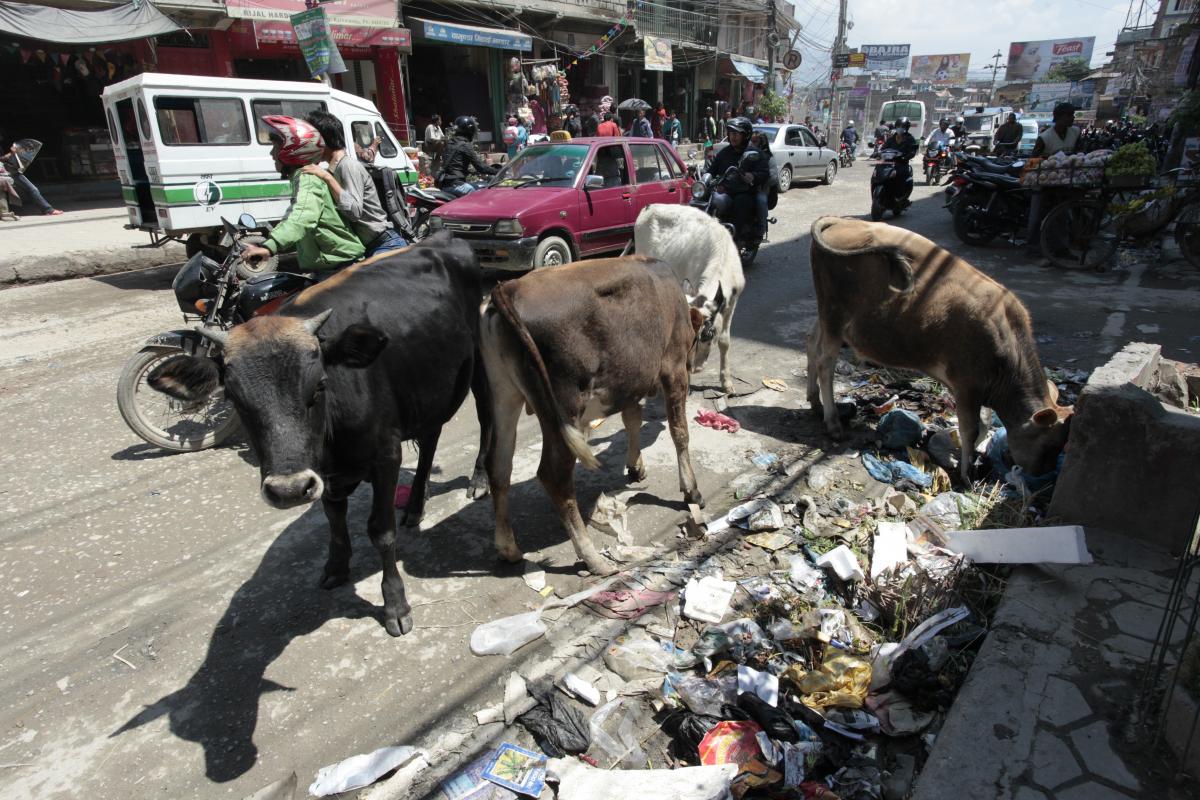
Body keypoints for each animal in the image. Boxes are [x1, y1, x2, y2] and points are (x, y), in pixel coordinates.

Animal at [150, 232, 487, 638]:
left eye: (320, 385)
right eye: (234, 398)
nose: (289, 490)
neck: (331, 443)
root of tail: (441, 237)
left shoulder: (385, 455)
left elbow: (380, 531)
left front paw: (395, 604)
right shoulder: (326, 473)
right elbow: (333, 517)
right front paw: (336, 567)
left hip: (482, 361)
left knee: (489, 418)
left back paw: (480, 479)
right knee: (432, 437)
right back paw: (415, 506)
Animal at [482, 256, 705, 575]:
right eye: (699, 337)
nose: (695, 364)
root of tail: (509, 288)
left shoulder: (629, 382)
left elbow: (632, 420)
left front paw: (636, 466)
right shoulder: (672, 367)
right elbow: (680, 432)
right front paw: (691, 491)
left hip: (504, 395)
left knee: (498, 466)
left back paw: (508, 548)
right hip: (564, 406)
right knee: (554, 475)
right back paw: (592, 558)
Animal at [633, 206, 744, 393]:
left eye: (707, 334)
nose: (695, 368)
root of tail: (649, 207)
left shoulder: (732, 302)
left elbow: (724, 341)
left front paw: (726, 382)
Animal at [806, 215, 1070, 482]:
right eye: (1050, 445)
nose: (1043, 473)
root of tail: (842, 220)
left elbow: (984, 424)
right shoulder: (967, 385)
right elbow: (970, 429)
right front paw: (966, 474)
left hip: (828, 315)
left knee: (811, 344)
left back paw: (815, 401)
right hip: (834, 313)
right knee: (825, 362)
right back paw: (833, 423)